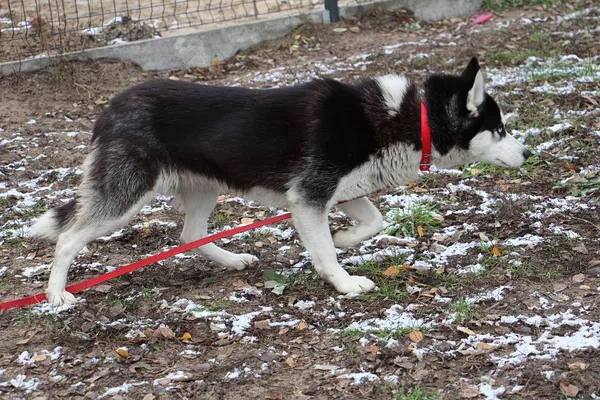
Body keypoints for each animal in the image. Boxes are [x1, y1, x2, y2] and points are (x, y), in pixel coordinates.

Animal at [30, 57, 532, 306]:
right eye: (500, 128)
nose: (528, 154)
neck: (412, 117)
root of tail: (110, 108)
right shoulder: (308, 197)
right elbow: (325, 251)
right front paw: (343, 281)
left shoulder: (342, 192)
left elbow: (375, 221)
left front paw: (346, 239)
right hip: (127, 195)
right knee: (69, 238)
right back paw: (55, 294)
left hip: (205, 188)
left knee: (190, 235)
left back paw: (232, 261)